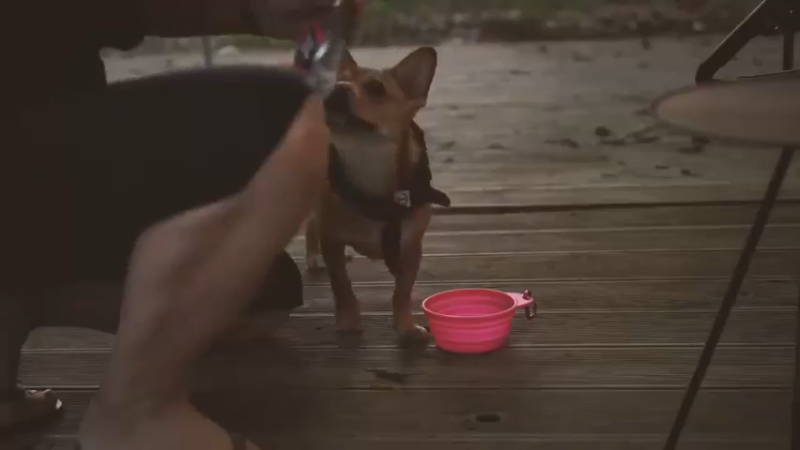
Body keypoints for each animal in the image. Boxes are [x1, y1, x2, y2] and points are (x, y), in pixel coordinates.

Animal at [304, 46, 446, 344]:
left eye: (376, 89)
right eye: (337, 82)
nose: (338, 89)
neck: (368, 163)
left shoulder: (411, 249)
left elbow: (402, 291)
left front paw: (406, 326)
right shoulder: (332, 239)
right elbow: (342, 286)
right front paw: (348, 321)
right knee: (312, 224)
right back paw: (313, 257)